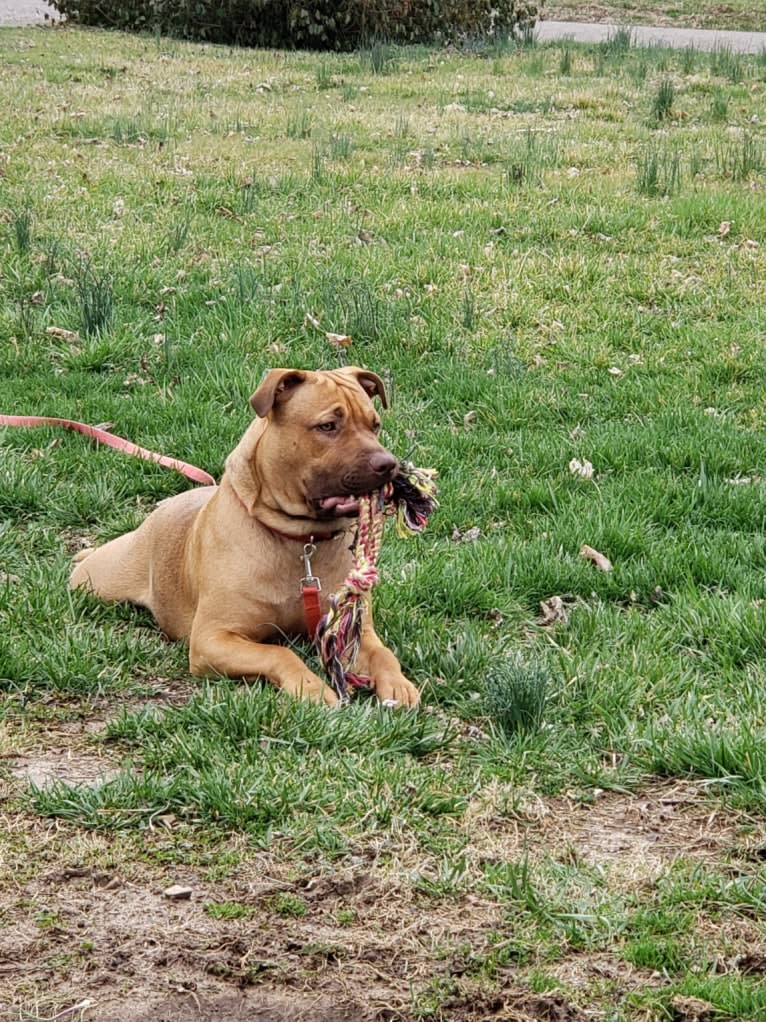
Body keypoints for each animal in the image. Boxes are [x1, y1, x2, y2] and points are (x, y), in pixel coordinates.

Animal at [70, 367, 420, 711]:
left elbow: (383, 654)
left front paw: (398, 684)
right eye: (328, 426)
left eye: (375, 425)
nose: (388, 464)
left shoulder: (353, 631)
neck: (299, 538)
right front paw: (310, 686)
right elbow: (278, 652)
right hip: (99, 580)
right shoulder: (213, 639)